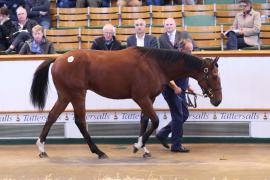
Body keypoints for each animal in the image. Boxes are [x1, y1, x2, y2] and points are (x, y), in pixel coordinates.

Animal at [30, 46, 223, 159]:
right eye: (214, 76)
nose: (218, 100)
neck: (155, 64)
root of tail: (59, 59)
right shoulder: (141, 97)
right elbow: (155, 121)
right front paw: (138, 146)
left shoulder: (148, 98)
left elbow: (145, 121)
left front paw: (144, 149)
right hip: (77, 95)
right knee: (79, 122)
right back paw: (98, 152)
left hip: (65, 96)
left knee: (52, 116)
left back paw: (41, 149)